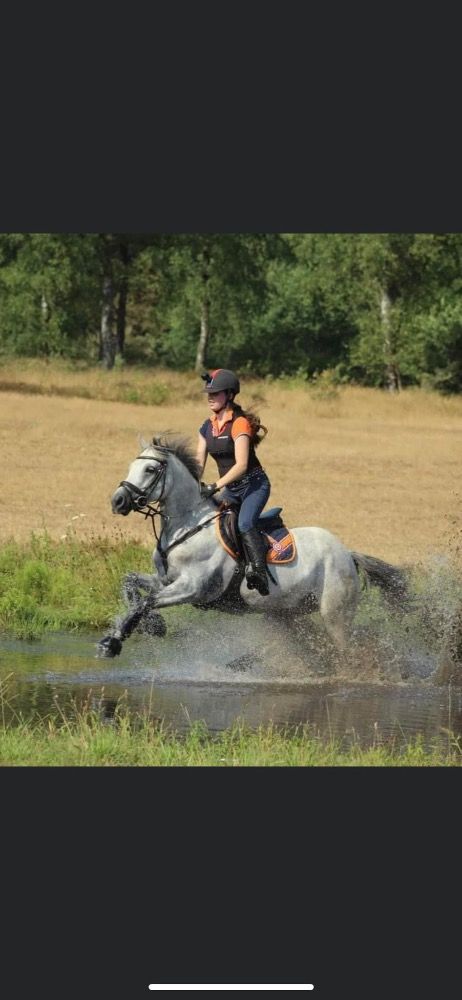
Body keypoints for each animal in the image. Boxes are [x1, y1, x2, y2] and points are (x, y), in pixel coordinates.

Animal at [97, 435, 407, 660]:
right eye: (131, 467)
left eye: (150, 469)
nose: (118, 501)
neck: (188, 525)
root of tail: (348, 555)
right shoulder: (165, 580)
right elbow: (131, 585)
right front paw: (152, 625)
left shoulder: (194, 588)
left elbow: (146, 601)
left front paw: (112, 642)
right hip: (287, 612)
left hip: (336, 615)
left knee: (349, 649)